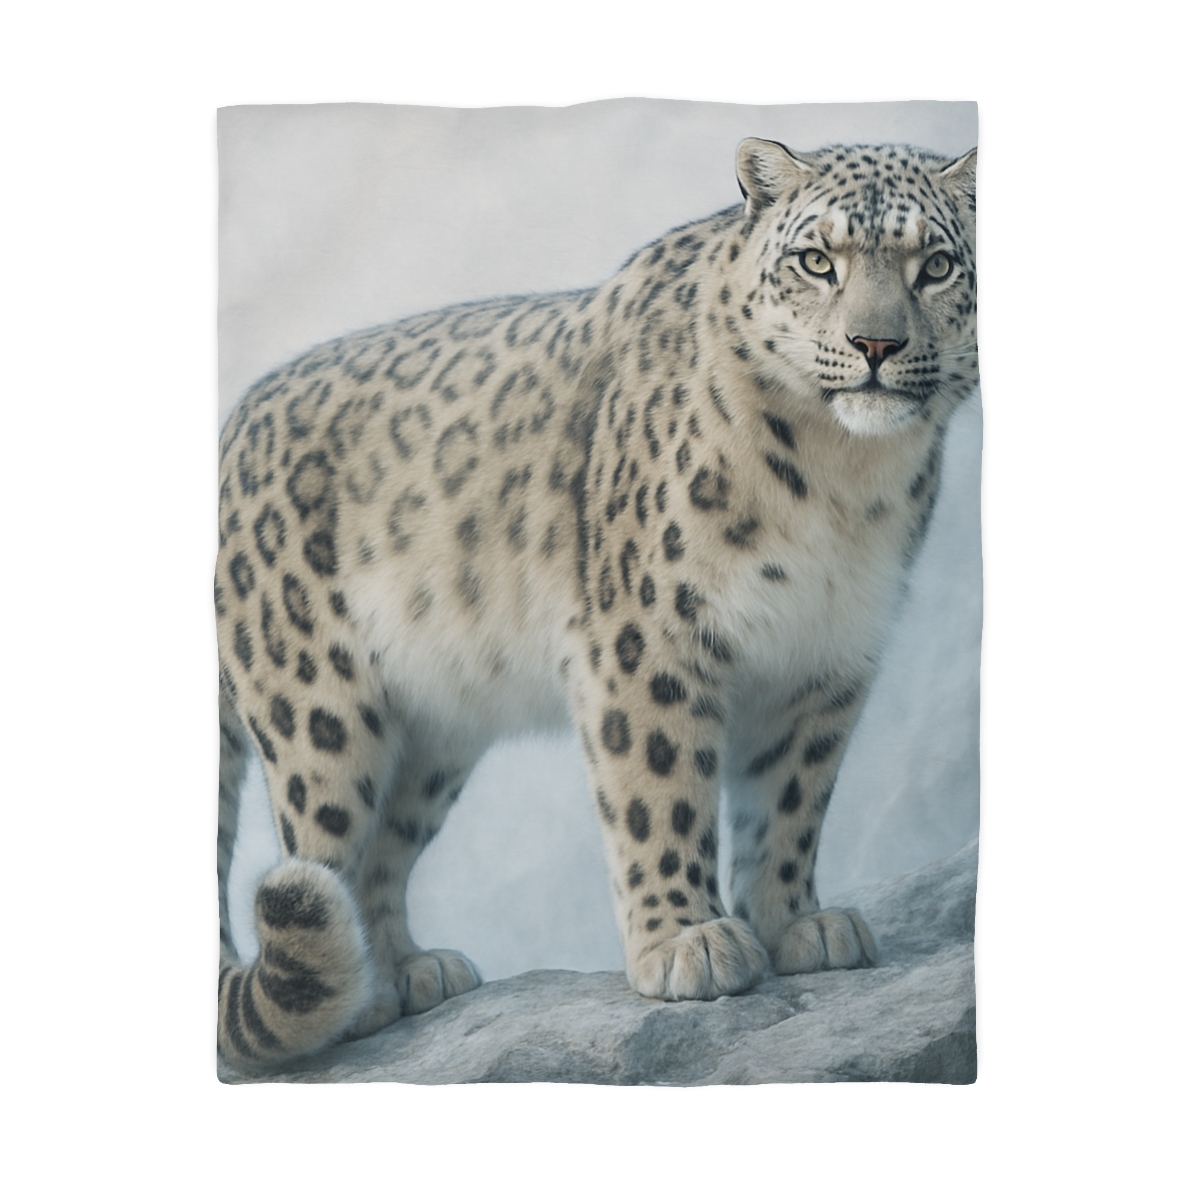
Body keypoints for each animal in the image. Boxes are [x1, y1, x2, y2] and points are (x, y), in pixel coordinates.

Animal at [215, 137, 978, 1068]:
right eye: (816, 260)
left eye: (936, 265)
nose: (876, 342)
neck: (845, 483)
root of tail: (231, 428)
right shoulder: (648, 636)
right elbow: (661, 788)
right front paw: (688, 942)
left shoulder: (828, 656)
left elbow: (792, 801)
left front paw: (799, 924)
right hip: (319, 710)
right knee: (324, 847)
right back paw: (356, 1001)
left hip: (435, 733)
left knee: (383, 848)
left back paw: (409, 969)